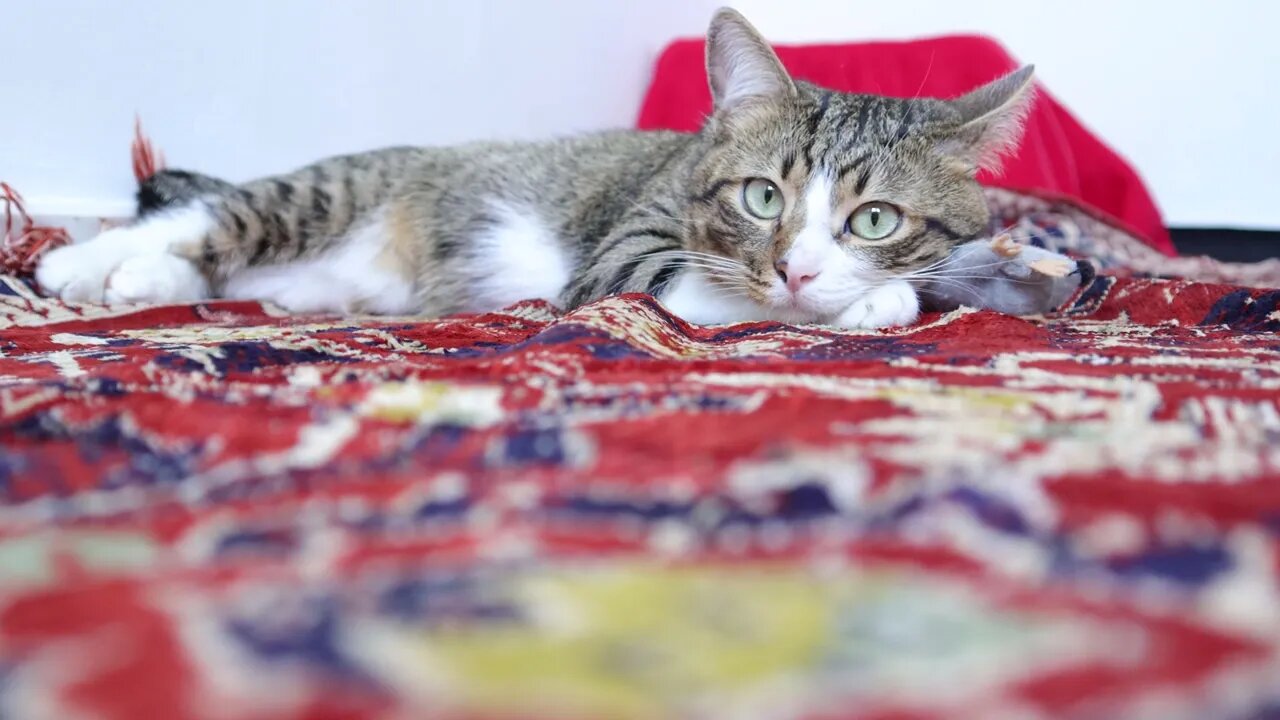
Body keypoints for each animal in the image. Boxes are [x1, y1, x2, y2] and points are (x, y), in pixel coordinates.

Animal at [35, 7, 1034, 327]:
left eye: (875, 219)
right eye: (762, 197)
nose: (796, 268)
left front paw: (873, 293)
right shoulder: (624, 258)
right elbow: (704, 293)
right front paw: (862, 301)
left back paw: (152, 283)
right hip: (332, 191)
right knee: (212, 216)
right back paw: (80, 263)